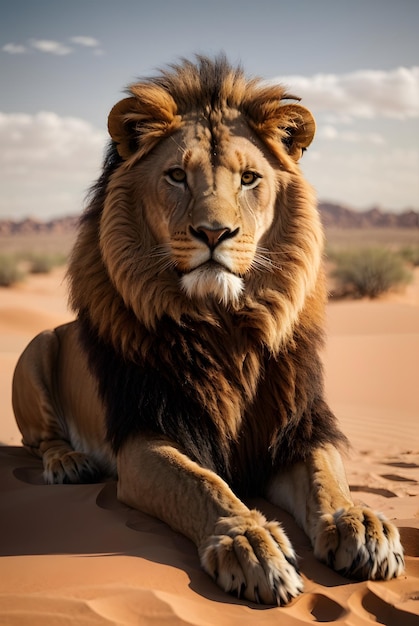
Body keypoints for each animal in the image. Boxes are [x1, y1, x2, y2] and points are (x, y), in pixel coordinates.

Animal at [12, 56, 404, 604]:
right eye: (177, 176)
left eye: (249, 178)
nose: (214, 233)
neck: (225, 328)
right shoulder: (145, 439)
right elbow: (203, 485)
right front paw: (251, 545)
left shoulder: (295, 430)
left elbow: (327, 477)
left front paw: (361, 525)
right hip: (38, 346)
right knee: (40, 438)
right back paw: (68, 462)